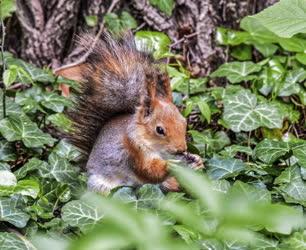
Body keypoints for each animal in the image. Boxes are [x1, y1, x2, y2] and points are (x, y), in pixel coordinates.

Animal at [55, 32, 203, 193]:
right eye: (159, 130)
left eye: (184, 122)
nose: (182, 149)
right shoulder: (133, 152)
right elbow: (149, 172)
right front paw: (171, 165)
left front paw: (197, 160)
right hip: (101, 186)